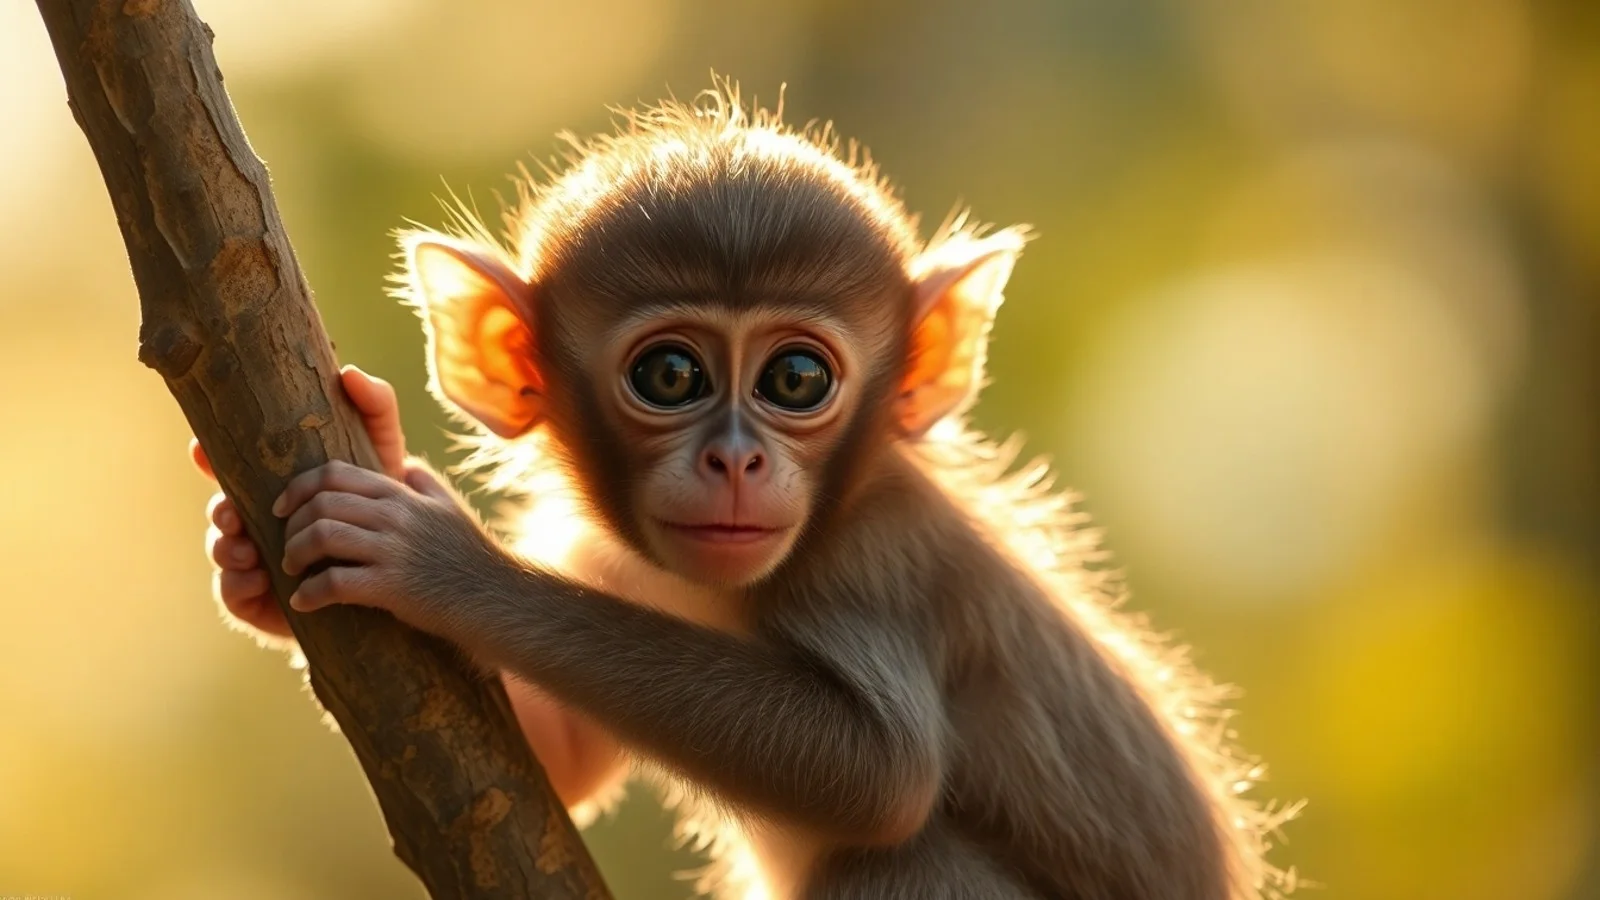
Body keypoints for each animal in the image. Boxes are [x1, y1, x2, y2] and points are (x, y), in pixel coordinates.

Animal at [195, 85, 1295, 899]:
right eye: (670, 375)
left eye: (796, 379)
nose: (737, 462)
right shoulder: (601, 549)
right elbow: (552, 766)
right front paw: (256, 562)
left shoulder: (874, 555)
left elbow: (882, 773)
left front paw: (445, 563)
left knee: (908, 856)